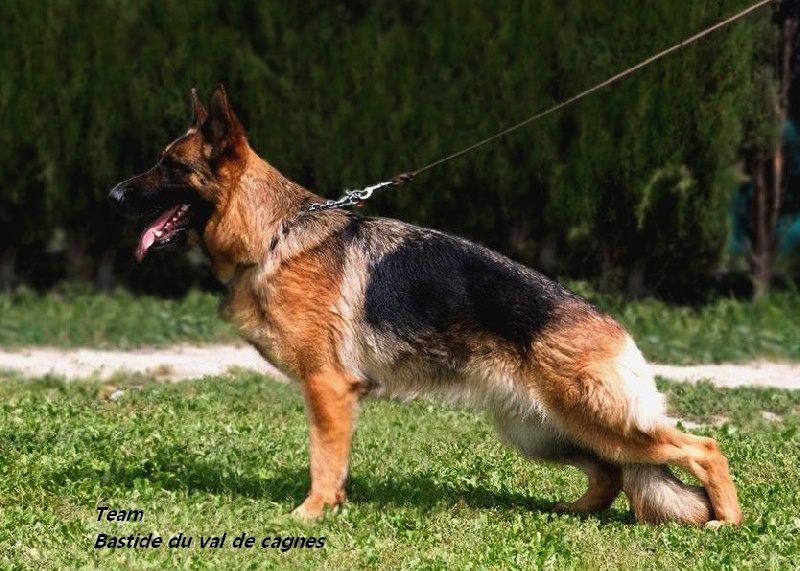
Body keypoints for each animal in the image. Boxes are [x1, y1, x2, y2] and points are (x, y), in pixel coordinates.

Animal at [109, 86, 740, 528]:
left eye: (170, 167)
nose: (113, 195)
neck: (272, 233)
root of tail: (614, 328)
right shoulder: (333, 396)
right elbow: (335, 463)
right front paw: (332, 509)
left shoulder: (327, 388)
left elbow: (322, 461)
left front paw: (309, 516)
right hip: (542, 431)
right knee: (612, 473)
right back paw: (577, 513)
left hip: (597, 420)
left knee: (703, 447)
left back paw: (726, 522)